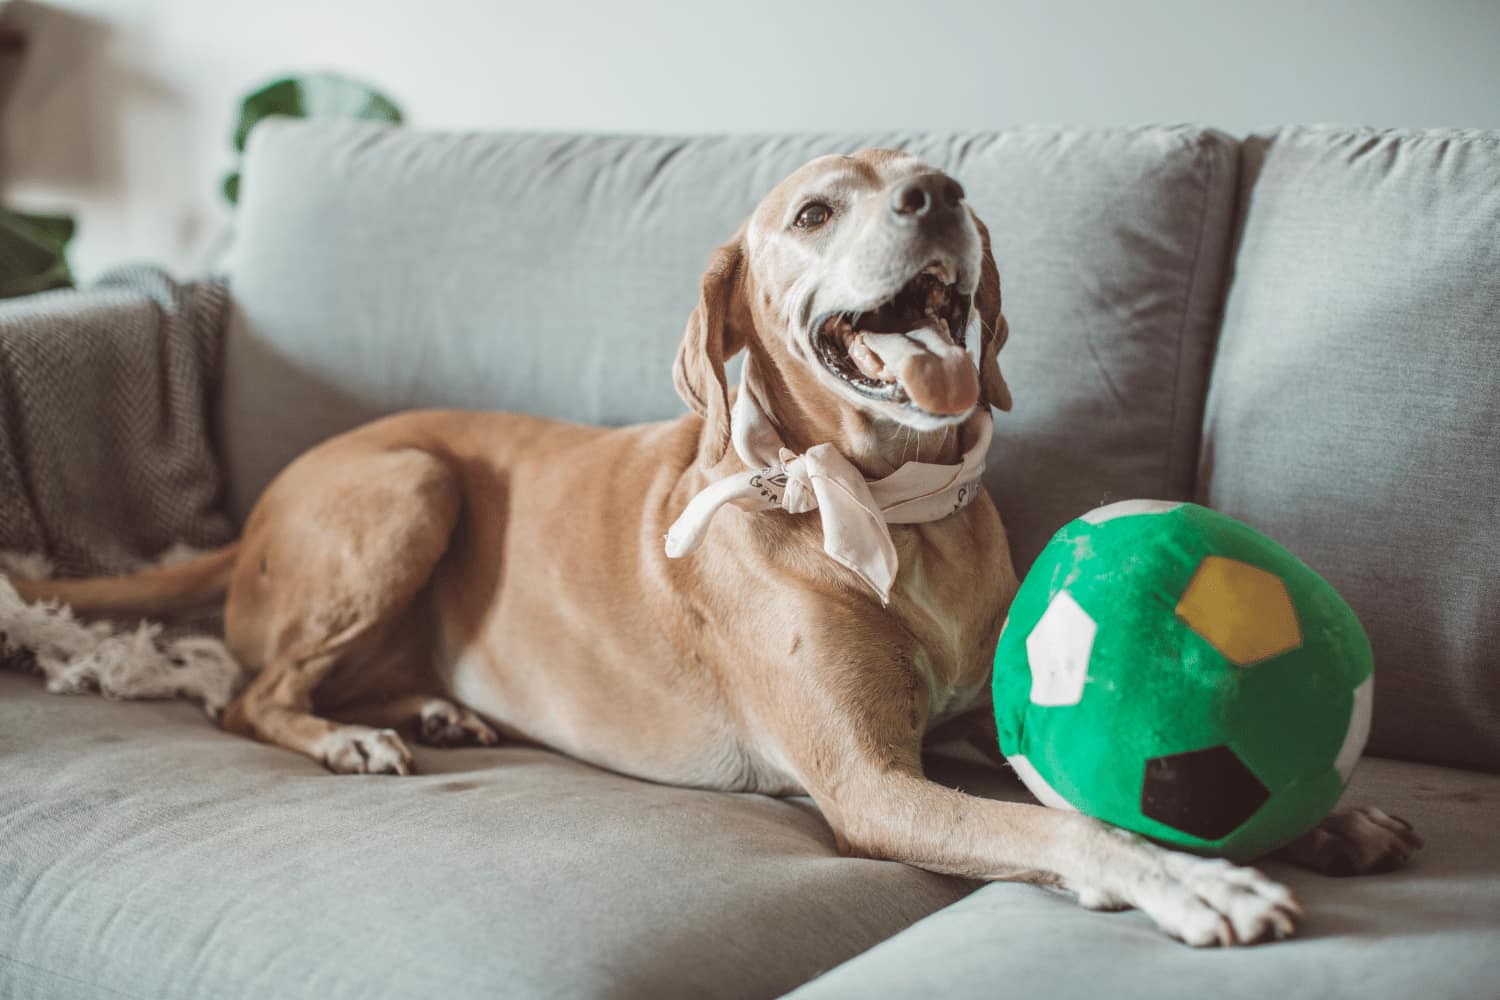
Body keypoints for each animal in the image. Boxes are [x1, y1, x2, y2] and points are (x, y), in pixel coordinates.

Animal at [17, 148, 1422, 947]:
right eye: (814, 213)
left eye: (931, 176)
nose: (944, 197)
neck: (887, 507)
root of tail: (257, 507)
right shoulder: (871, 785)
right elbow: (1070, 831)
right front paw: (1201, 885)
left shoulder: (982, 723)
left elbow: (1079, 788)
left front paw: (1322, 824)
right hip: (410, 486)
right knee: (247, 696)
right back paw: (350, 735)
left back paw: (430, 708)